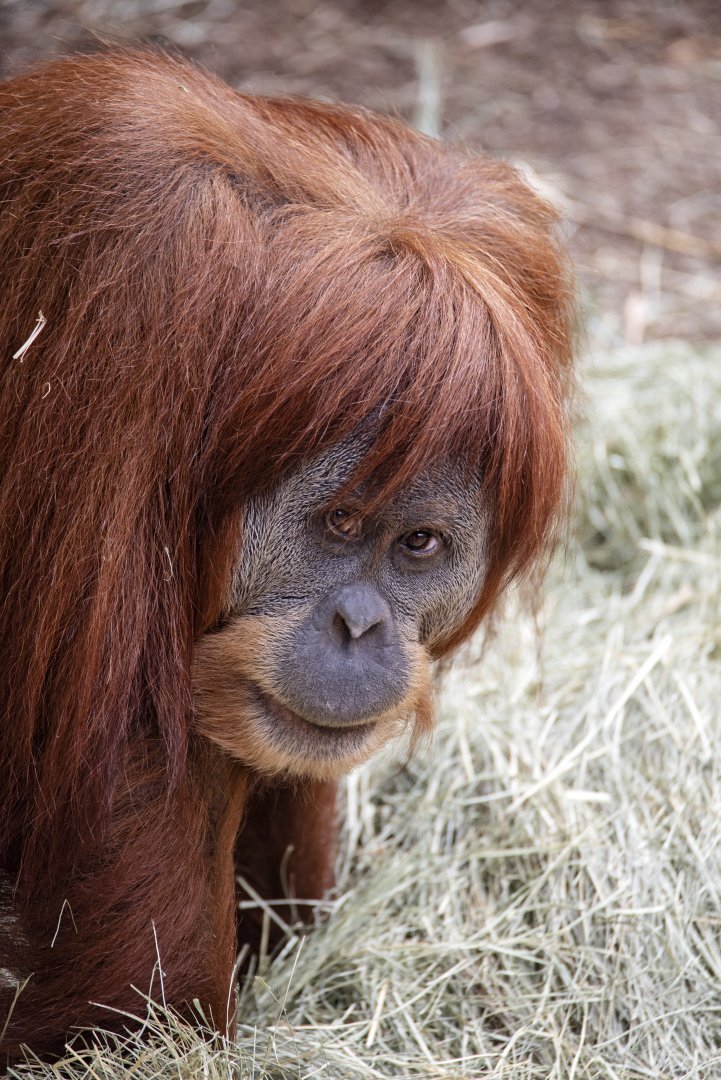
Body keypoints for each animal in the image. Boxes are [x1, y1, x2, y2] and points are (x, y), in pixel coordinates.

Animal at [0, 48, 574, 1059]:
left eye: (418, 544)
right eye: (339, 523)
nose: (359, 625)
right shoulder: (129, 297)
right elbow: (119, 729)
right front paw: (151, 1038)